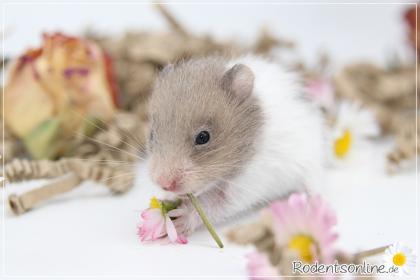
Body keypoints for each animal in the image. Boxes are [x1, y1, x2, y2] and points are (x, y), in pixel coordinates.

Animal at [148, 55, 324, 235]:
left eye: (203, 137)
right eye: (152, 135)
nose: (164, 184)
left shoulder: (244, 187)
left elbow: (213, 206)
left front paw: (180, 218)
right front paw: (167, 200)